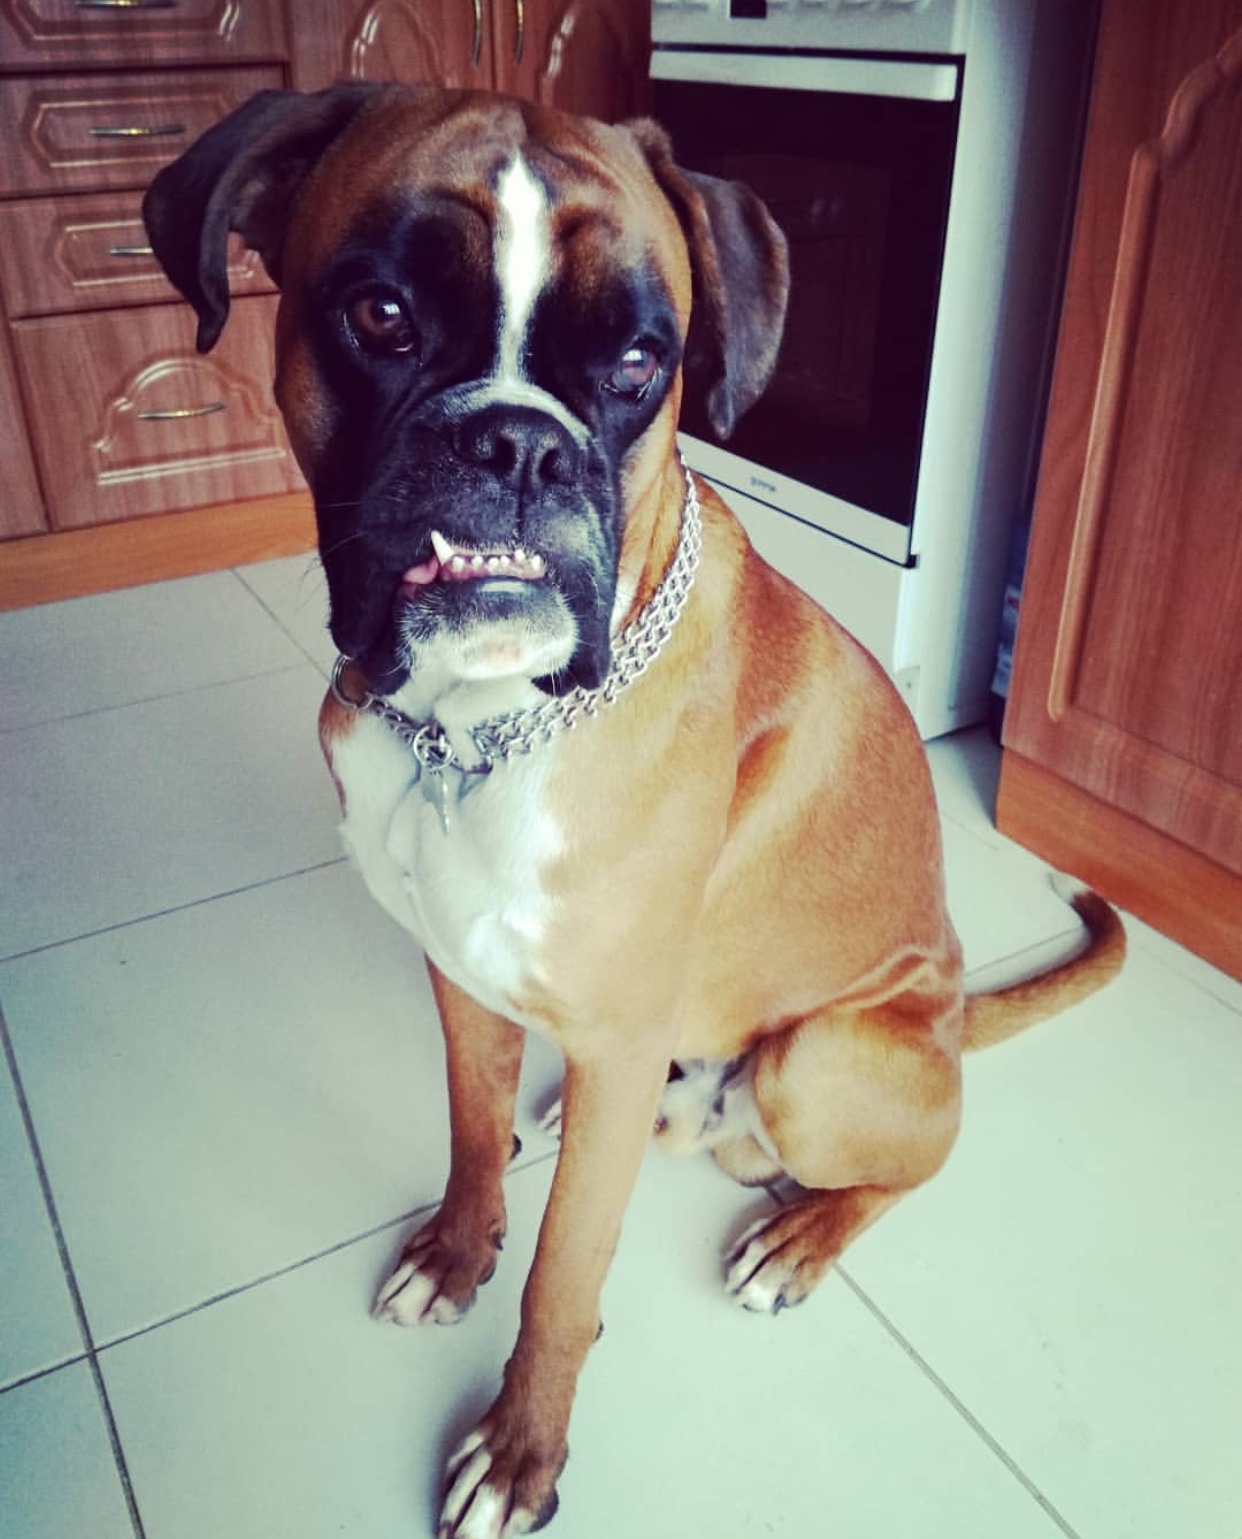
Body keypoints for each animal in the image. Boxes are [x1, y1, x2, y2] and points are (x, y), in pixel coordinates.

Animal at [145, 87, 1126, 1539]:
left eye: (638, 362)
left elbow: (566, 1272)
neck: (472, 730)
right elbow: (472, 1133)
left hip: (815, 1058)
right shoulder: (458, 973)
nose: (515, 440)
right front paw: (457, 1251)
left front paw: (520, 1452)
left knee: (908, 1164)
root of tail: (950, 1012)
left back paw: (796, 1237)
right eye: (381, 313)